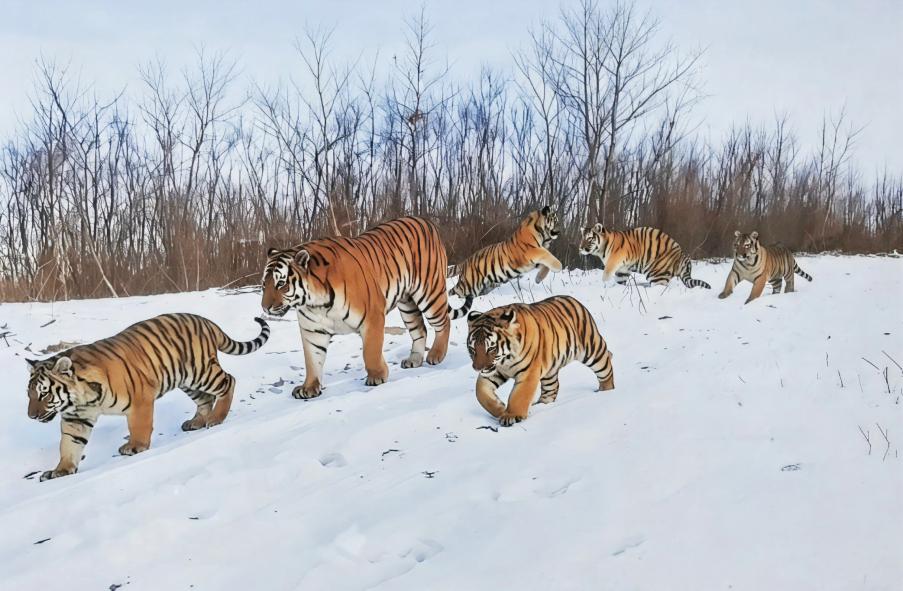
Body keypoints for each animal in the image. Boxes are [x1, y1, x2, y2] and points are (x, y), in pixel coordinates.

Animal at [25, 314, 270, 481]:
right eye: (29, 394)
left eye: (44, 393)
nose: (31, 416)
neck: (81, 398)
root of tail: (206, 321)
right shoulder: (76, 418)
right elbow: (69, 444)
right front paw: (60, 470)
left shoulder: (140, 399)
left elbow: (139, 426)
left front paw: (135, 447)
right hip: (187, 381)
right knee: (205, 399)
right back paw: (196, 422)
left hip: (201, 371)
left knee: (229, 381)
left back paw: (216, 418)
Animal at [262, 216, 451, 399]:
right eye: (264, 284)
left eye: (281, 284)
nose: (265, 308)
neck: (316, 303)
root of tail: (425, 221)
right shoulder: (313, 331)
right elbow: (312, 361)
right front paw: (309, 387)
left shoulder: (372, 316)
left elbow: (370, 352)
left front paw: (377, 376)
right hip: (407, 304)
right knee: (420, 329)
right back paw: (414, 360)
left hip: (429, 292)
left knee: (443, 322)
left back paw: (436, 355)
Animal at [466, 295, 615, 427]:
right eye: (473, 349)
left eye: (491, 348)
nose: (477, 368)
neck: (505, 361)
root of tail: (574, 300)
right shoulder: (495, 371)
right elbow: (480, 393)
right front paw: (500, 409)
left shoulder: (528, 372)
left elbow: (519, 395)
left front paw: (511, 415)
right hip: (550, 372)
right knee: (552, 388)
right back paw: (542, 405)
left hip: (592, 350)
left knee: (606, 365)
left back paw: (606, 393)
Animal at [579, 224, 711, 289]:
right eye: (582, 238)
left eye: (589, 238)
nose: (580, 248)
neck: (601, 249)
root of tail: (681, 255)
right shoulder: (622, 269)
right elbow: (620, 280)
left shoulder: (614, 261)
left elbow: (605, 276)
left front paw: (604, 286)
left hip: (657, 274)